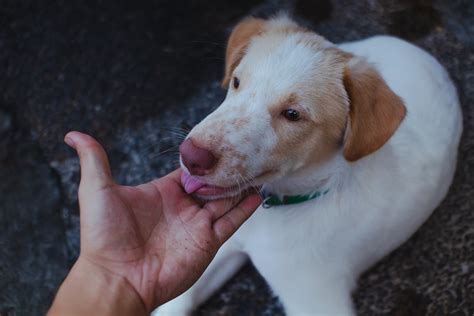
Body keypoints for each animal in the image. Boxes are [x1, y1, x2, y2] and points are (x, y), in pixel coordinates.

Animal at [156, 14, 462, 316]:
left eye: (293, 115)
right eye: (237, 81)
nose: (191, 156)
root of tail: (419, 53)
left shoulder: (317, 300)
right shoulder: (224, 246)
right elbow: (176, 302)